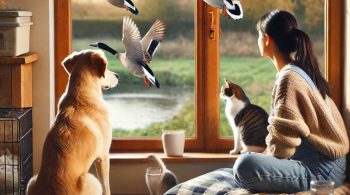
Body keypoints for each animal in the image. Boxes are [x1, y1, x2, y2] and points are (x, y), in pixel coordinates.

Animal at [26, 49, 119, 194]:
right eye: (107, 66)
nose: (117, 75)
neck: (80, 93)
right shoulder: (103, 156)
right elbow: (107, 187)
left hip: (32, 181)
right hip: (91, 179)